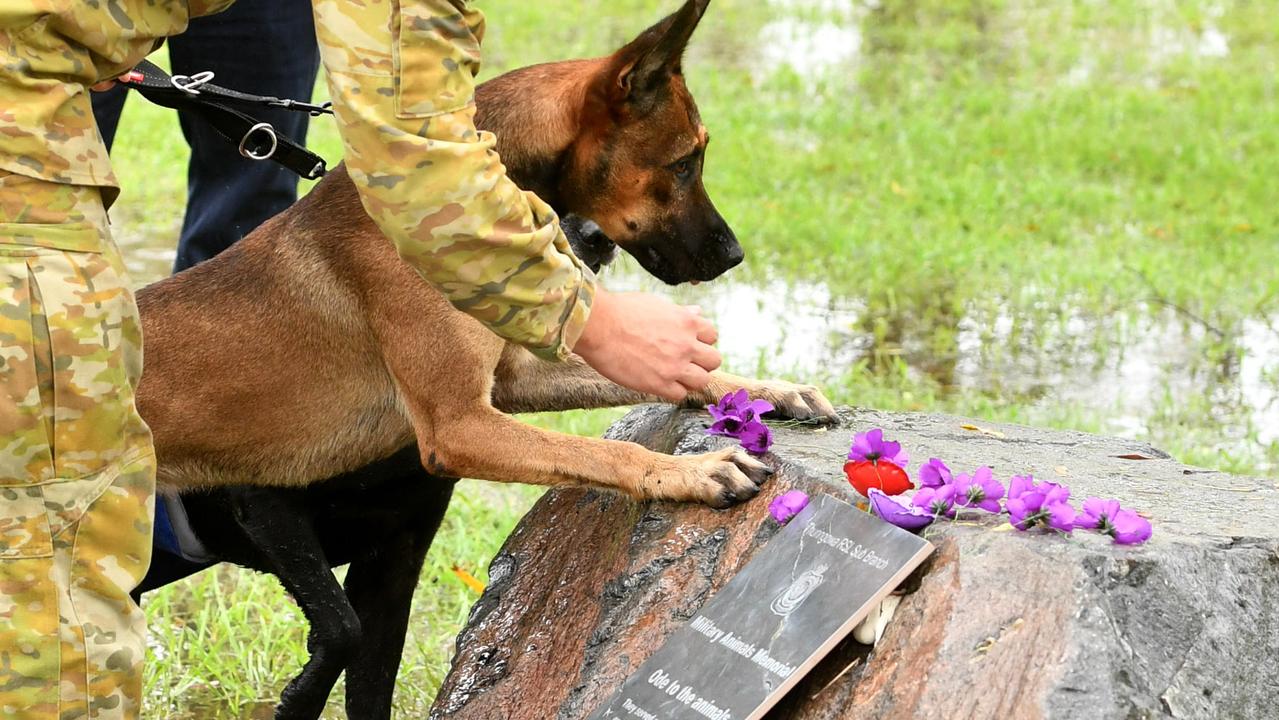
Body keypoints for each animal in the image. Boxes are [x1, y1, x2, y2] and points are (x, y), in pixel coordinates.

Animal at [134, 2, 839, 716]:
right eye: (686, 163)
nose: (733, 255)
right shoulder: (461, 426)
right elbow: (603, 451)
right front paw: (692, 471)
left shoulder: (507, 388)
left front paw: (768, 390)